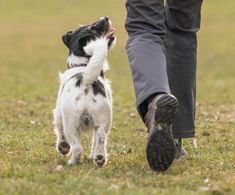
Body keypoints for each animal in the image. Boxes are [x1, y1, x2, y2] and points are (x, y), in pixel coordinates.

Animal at [53, 17, 115, 166]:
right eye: (92, 27)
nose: (105, 17)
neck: (82, 65)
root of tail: (86, 81)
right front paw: (93, 156)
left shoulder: (58, 114)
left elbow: (59, 131)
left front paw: (63, 147)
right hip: (103, 121)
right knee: (100, 138)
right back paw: (99, 158)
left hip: (71, 124)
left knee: (77, 148)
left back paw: (72, 162)